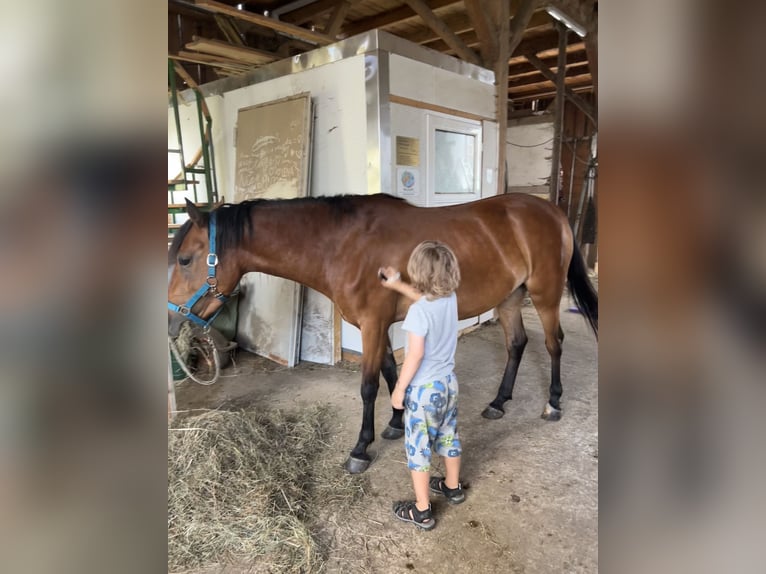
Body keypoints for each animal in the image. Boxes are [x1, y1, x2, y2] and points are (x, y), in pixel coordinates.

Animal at [167, 193, 598, 474]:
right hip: (509, 297)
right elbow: (392, 373)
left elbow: (369, 385)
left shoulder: (374, 323)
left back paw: (553, 402)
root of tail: (552, 210)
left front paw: (361, 447)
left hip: (544, 294)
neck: (342, 243)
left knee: (553, 344)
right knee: (516, 344)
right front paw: (394, 422)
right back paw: (499, 401)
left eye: (185, 259)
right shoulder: (377, 324)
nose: (171, 323)